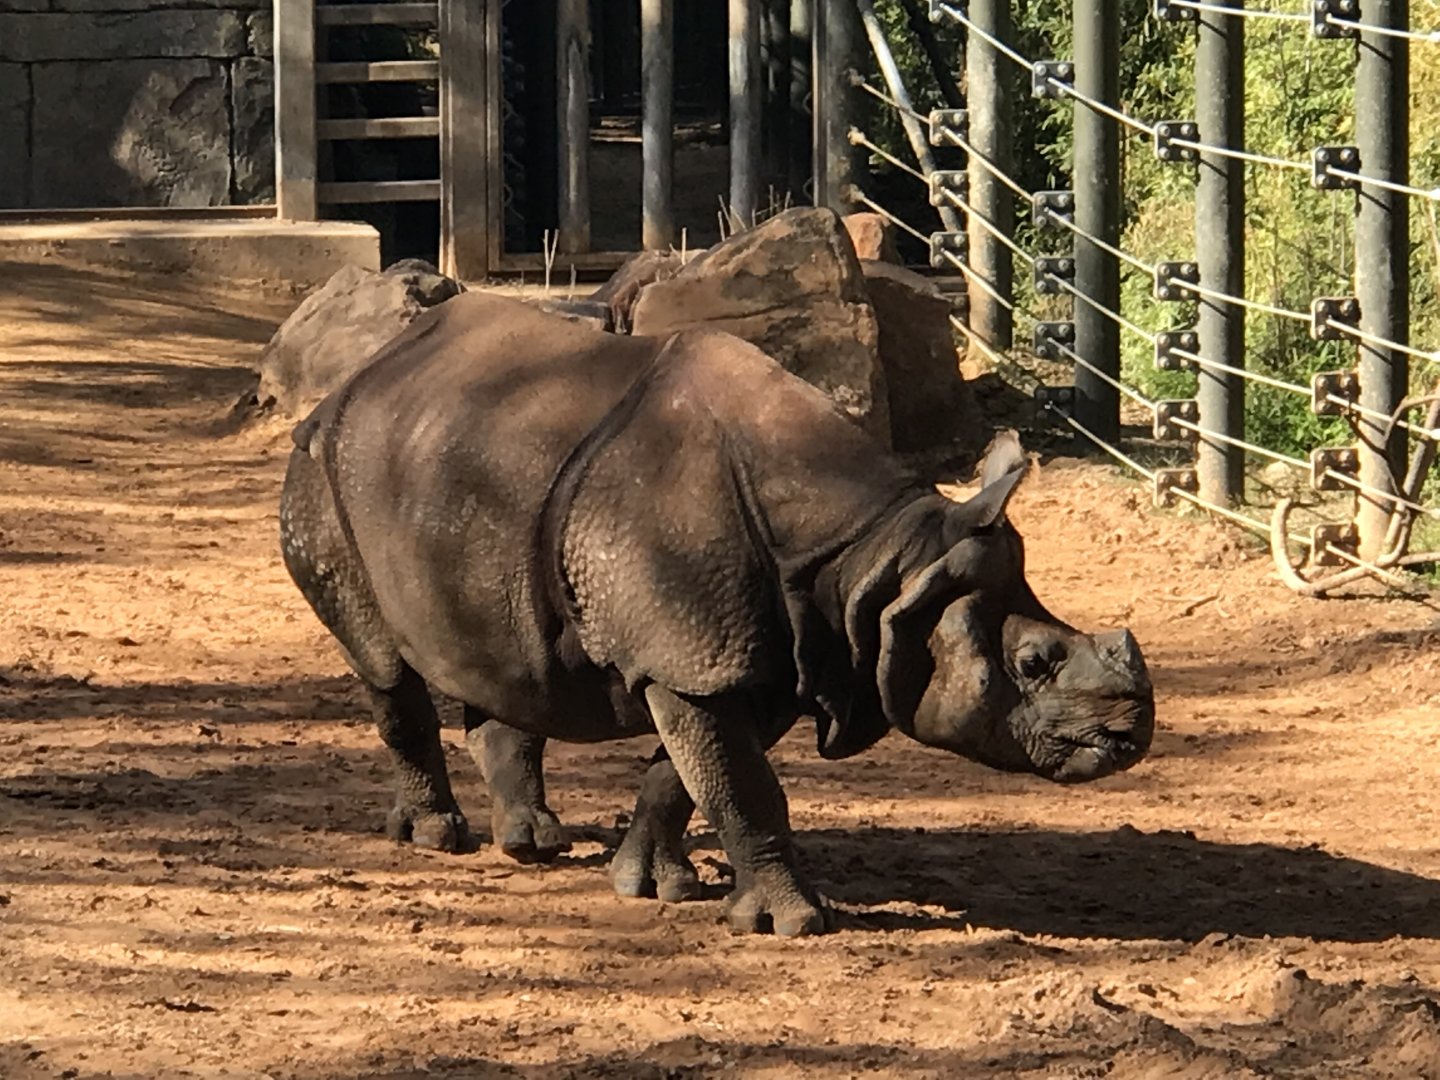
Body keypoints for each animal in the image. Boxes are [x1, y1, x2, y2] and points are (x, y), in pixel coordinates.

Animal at [279, 291, 1154, 936]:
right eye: (1031, 664)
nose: (1130, 737)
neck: (879, 564)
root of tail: (358, 373)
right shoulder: (697, 656)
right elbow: (742, 784)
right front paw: (792, 925)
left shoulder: (763, 656)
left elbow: (690, 775)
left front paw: (653, 886)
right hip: (320, 466)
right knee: (382, 660)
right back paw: (436, 837)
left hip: (458, 475)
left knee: (501, 657)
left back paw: (534, 842)